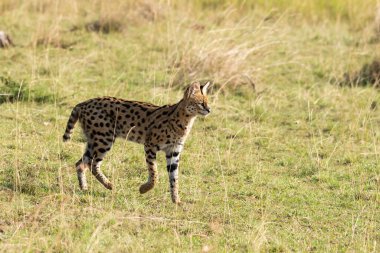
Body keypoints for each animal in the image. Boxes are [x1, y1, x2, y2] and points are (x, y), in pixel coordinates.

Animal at [62, 82, 211, 203]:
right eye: (201, 103)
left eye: (208, 102)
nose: (209, 109)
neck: (186, 120)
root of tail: (84, 103)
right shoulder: (150, 145)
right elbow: (154, 173)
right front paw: (144, 189)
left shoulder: (173, 151)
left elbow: (174, 178)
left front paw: (176, 200)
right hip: (104, 139)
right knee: (92, 164)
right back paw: (109, 185)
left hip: (95, 140)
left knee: (81, 163)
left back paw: (84, 187)